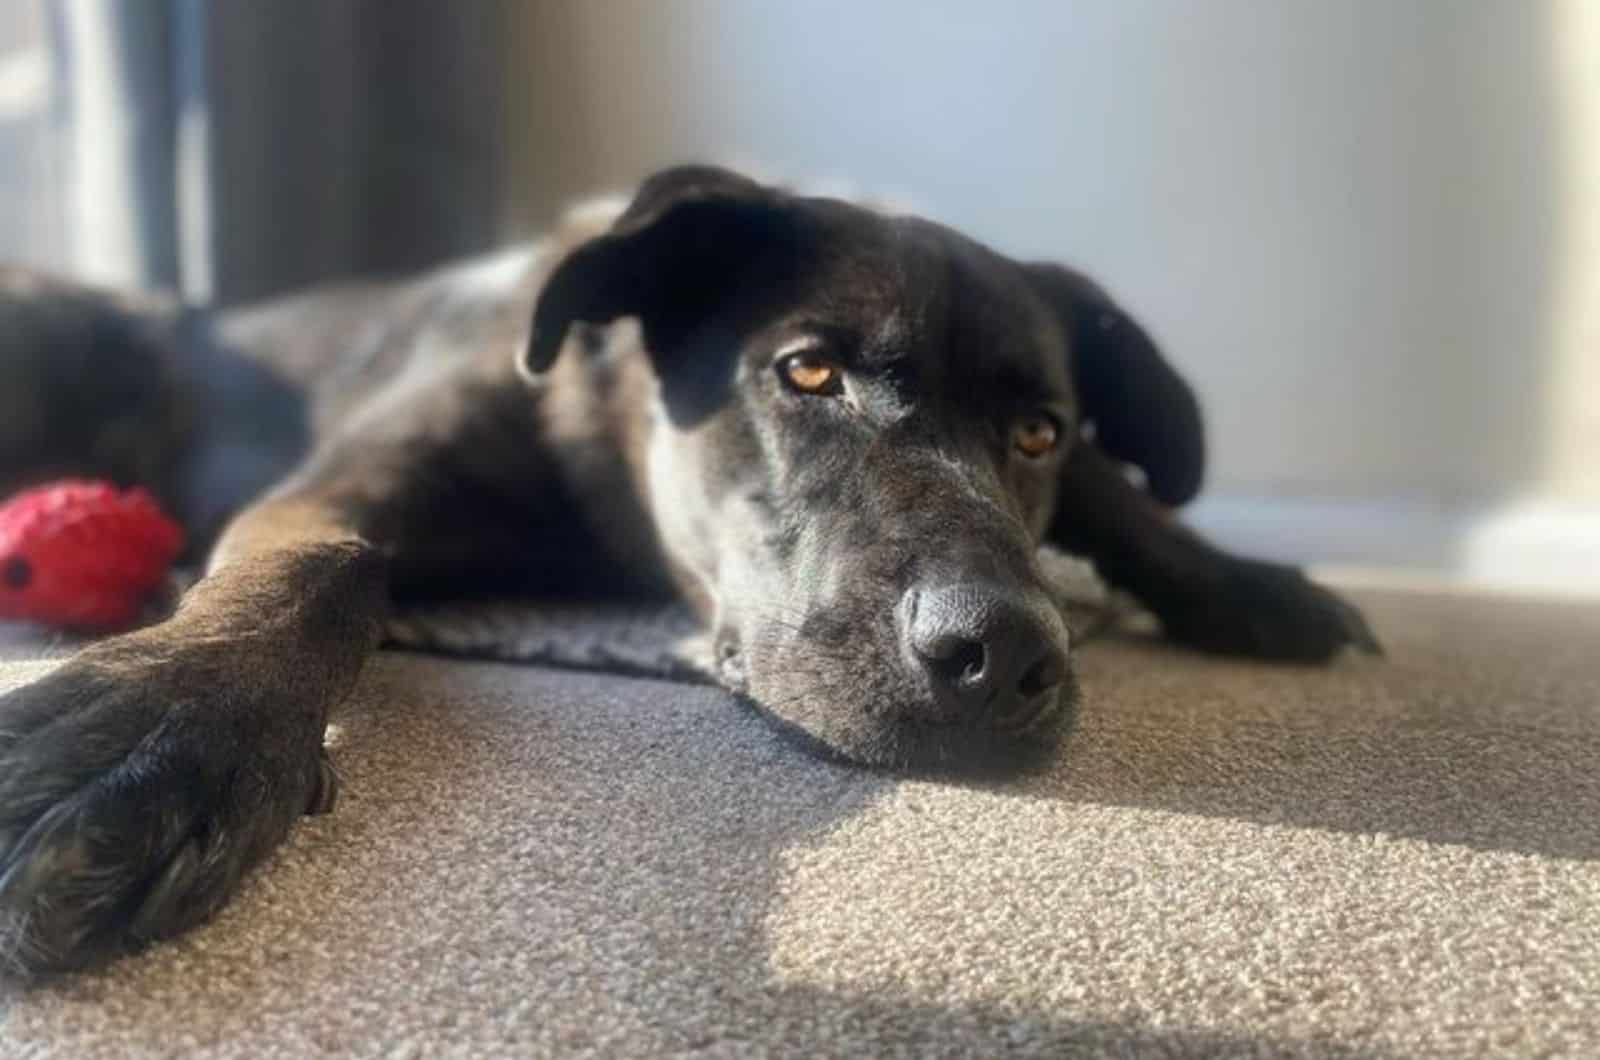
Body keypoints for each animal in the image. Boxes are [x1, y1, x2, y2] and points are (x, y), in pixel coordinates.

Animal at [0, 166, 1376, 979]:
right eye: (808, 371)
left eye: (1034, 428)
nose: (1008, 655)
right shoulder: (339, 489)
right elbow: (330, 564)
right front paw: (167, 724)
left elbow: (1118, 487)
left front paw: (1242, 581)